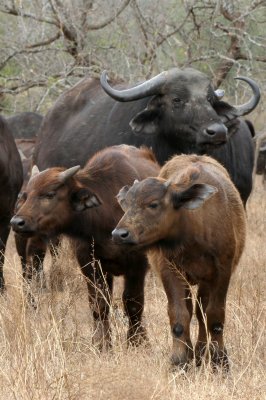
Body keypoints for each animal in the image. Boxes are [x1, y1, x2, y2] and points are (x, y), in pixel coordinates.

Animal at [10, 145, 159, 348]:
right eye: (26, 195)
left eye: (49, 194)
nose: (17, 222)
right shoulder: (89, 263)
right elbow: (99, 303)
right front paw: (102, 343)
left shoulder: (138, 264)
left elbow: (133, 303)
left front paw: (137, 341)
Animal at [112, 155, 245, 370]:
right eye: (127, 204)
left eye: (153, 204)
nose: (119, 234)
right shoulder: (170, 270)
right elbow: (179, 315)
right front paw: (179, 360)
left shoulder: (222, 272)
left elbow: (215, 316)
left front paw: (220, 361)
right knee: (192, 310)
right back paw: (194, 354)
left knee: (201, 311)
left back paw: (201, 353)